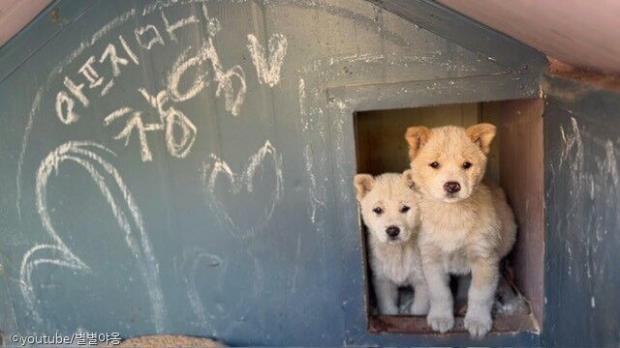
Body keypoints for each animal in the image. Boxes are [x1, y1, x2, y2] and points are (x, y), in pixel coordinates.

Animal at [356, 173, 428, 316]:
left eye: (405, 208)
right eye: (378, 210)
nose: (393, 231)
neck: (398, 250)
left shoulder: (423, 280)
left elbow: (418, 311)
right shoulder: (382, 281)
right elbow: (388, 309)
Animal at [404, 123, 516, 338]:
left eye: (466, 165)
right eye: (435, 164)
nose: (452, 186)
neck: (451, 216)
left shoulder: (484, 257)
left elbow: (480, 294)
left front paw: (478, 321)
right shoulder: (431, 259)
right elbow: (440, 293)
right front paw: (441, 318)